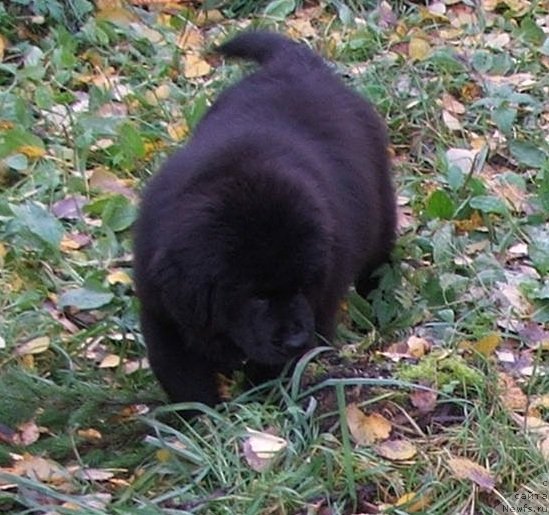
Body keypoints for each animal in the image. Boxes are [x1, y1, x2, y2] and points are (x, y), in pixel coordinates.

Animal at [135, 32, 396, 410]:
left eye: (302, 285)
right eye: (255, 296)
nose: (293, 340)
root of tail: (298, 65)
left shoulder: (318, 302)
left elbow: (271, 369)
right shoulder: (162, 314)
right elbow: (185, 380)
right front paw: (204, 419)